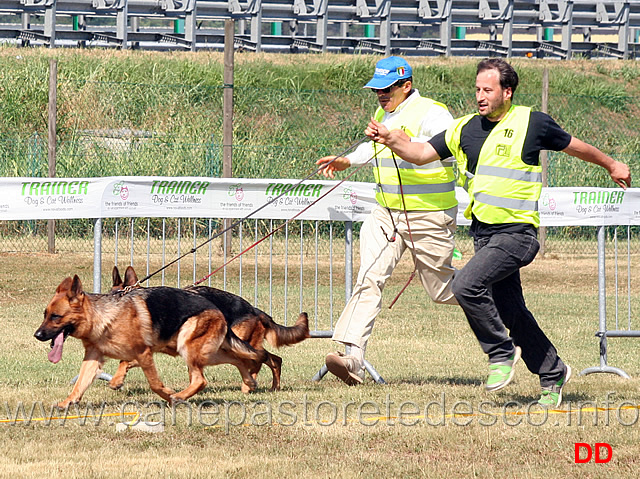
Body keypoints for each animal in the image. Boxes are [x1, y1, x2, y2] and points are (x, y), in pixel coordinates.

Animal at [35, 276, 270, 406]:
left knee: (201, 380)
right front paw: (67, 403)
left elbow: (155, 384)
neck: (103, 317)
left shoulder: (143, 353)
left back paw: (179, 397)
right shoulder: (93, 358)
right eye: (45, 314)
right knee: (238, 359)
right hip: (206, 352)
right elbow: (80, 384)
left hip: (188, 347)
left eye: (56, 317)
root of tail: (217, 309)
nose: (37, 335)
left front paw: (168, 394)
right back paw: (249, 382)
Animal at [109, 266, 308, 394]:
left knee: (257, 360)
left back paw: (248, 386)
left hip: (235, 344)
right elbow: (126, 361)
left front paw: (116, 381)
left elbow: (124, 360)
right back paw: (273, 387)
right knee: (273, 359)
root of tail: (255, 310)